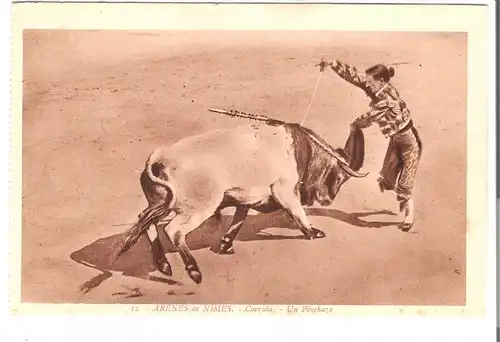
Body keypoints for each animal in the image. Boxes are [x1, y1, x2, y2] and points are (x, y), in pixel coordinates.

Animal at [116, 119, 368, 284]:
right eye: (339, 177)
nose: (327, 200)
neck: (300, 147)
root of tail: (159, 158)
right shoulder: (285, 191)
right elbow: (297, 212)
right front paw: (312, 232)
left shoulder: (244, 199)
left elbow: (239, 219)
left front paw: (226, 243)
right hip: (198, 209)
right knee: (173, 230)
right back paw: (193, 270)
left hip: (161, 205)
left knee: (145, 221)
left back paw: (163, 265)